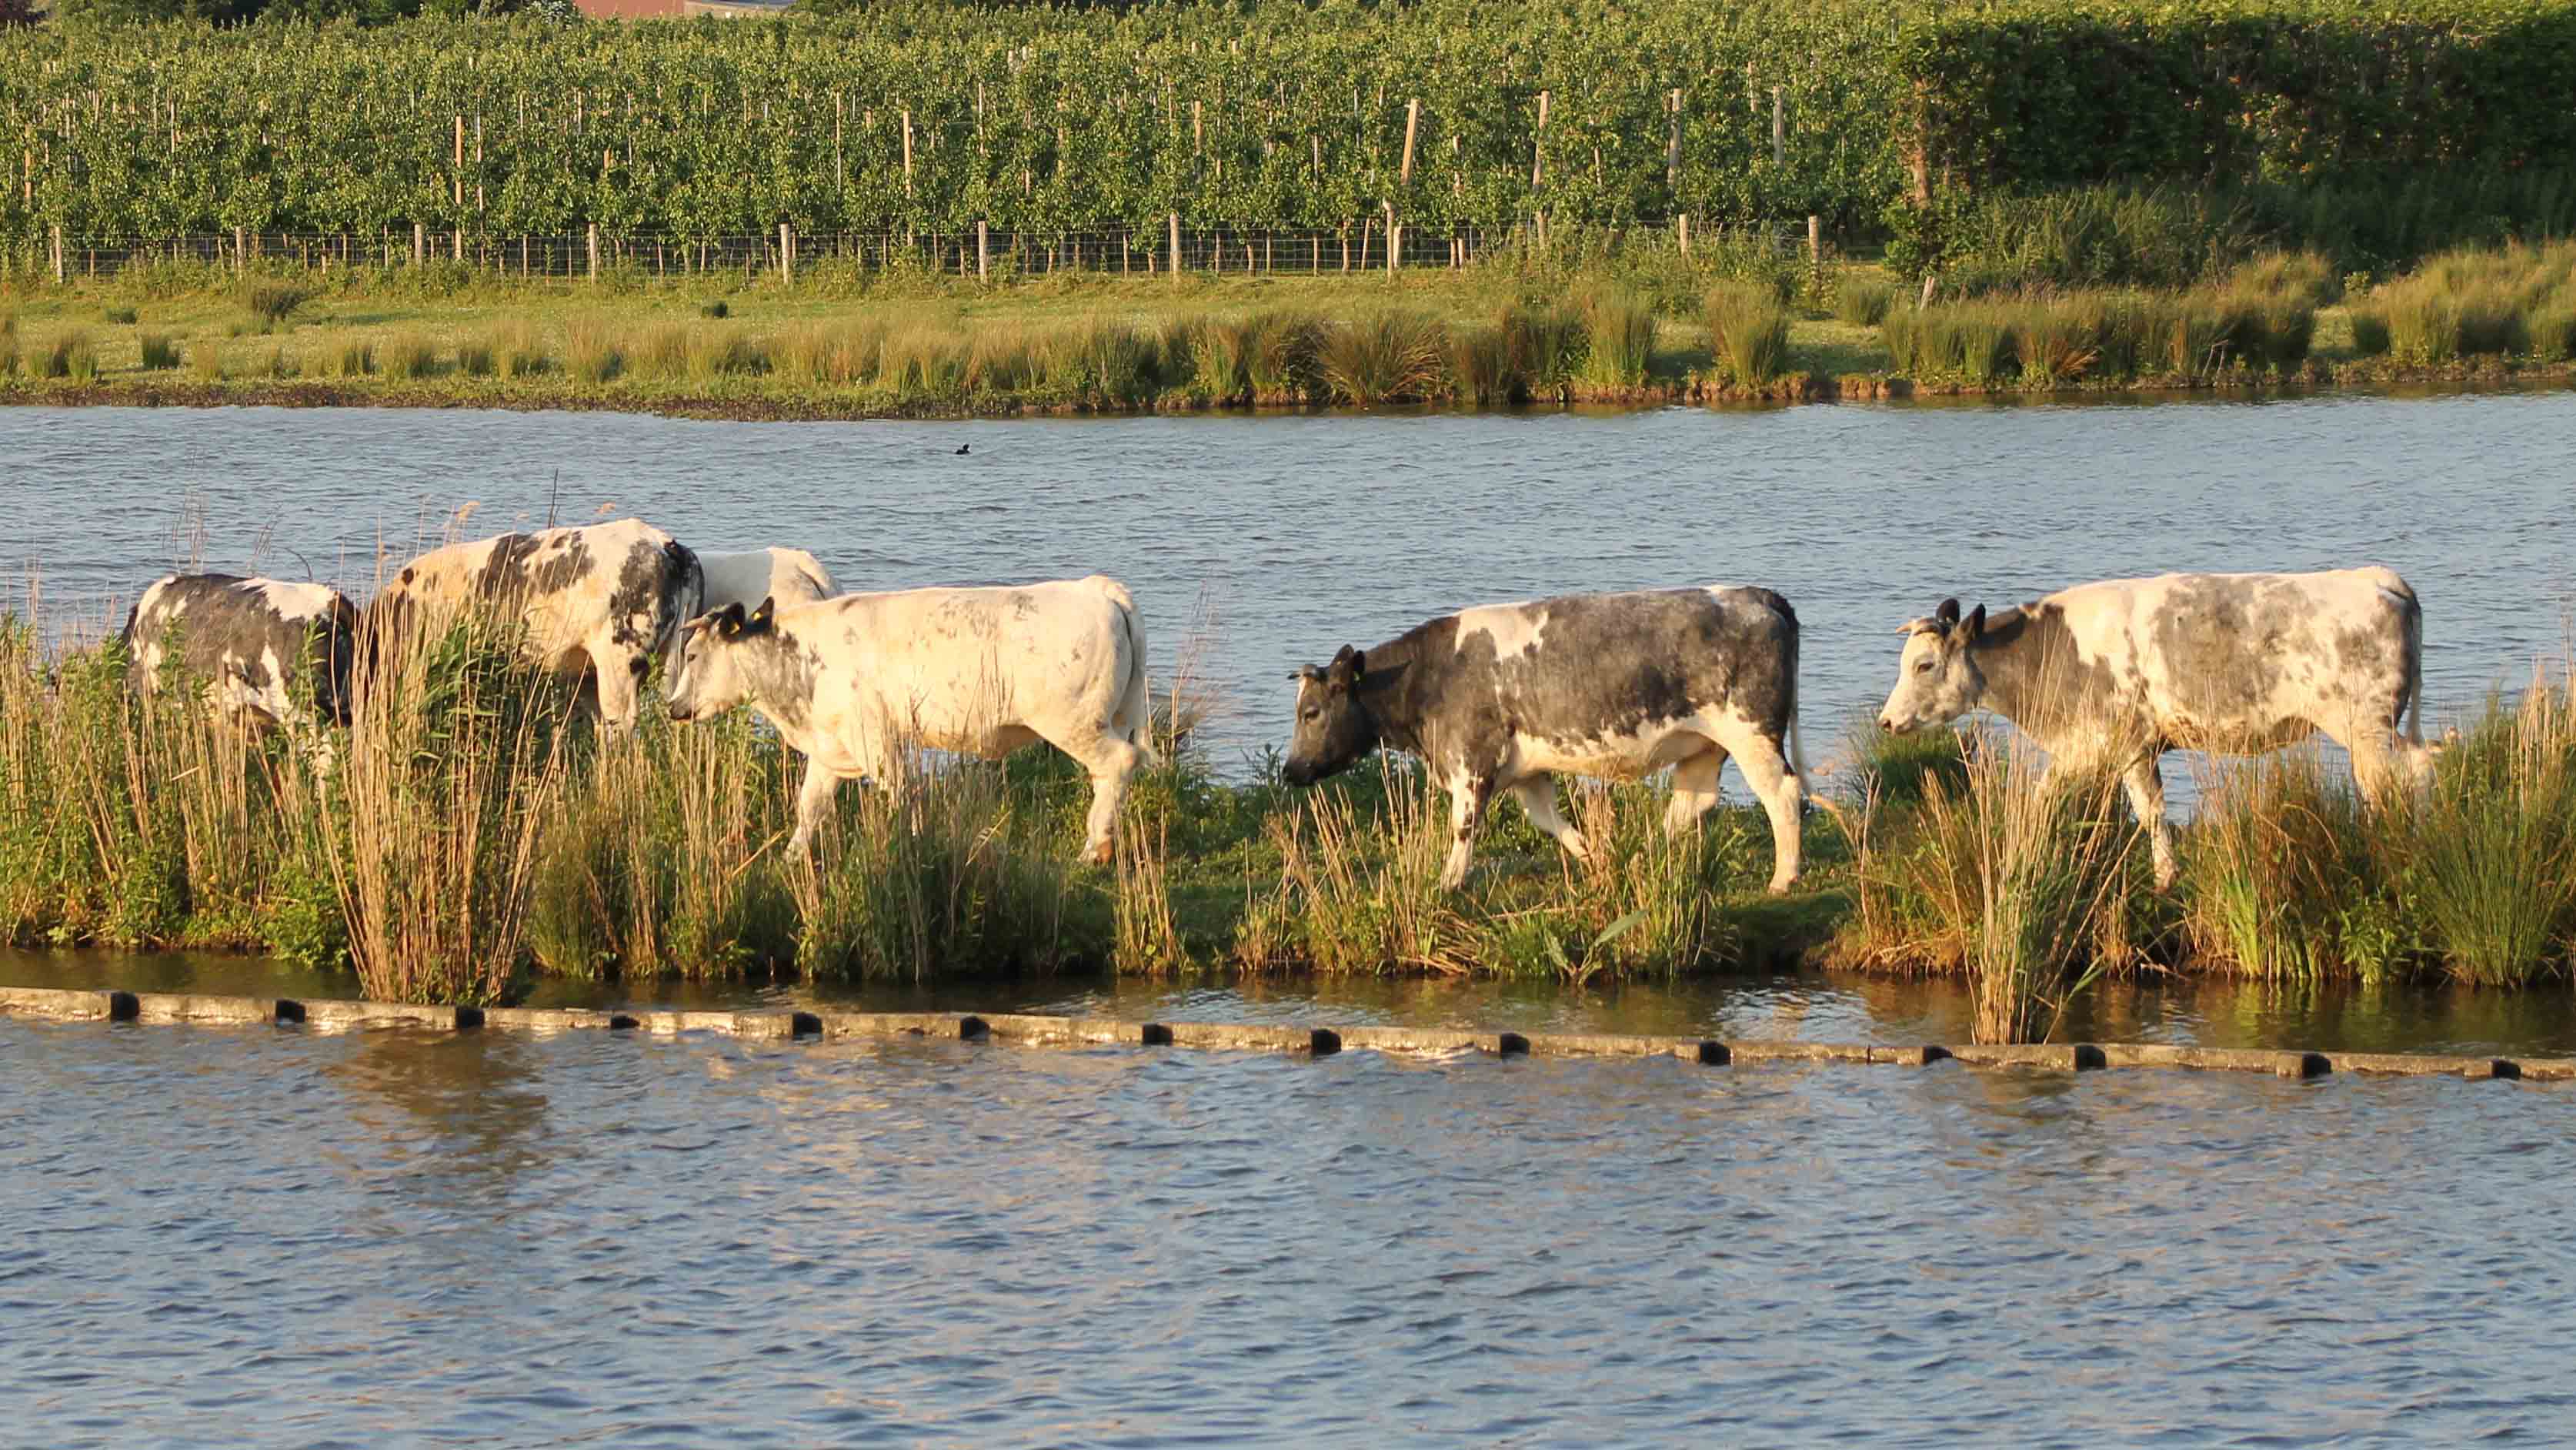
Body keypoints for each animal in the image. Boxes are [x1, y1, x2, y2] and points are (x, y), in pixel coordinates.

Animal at [665, 574, 1153, 863]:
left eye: (692, 655)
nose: (674, 707)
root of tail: (1094, 588)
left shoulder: (873, 737)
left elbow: (903, 792)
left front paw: (915, 846)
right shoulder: (831, 744)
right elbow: (810, 806)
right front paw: (789, 859)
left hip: (1073, 722)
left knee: (1118, 763)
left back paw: (1094, 850)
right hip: (1110, 716)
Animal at [1283, 587, 1812, 894]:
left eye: (1311, 712)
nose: (1290, 771)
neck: (1429, 674)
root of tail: (1754, 594)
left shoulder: (1471, 760)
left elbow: (1464, 827)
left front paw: (1447, 885)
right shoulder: (1525, 770)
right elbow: (1548, 820)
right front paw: (1595, 858)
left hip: (1751, 733)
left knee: (1782, 795)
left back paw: (1781, 880)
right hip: (1705, 743)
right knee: (1693, 801)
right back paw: (1646, 856)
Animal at [1874, 567, 2437, 887]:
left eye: (1924, 665)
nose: (1886, 720)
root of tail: (2377, 577)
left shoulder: (2104, 743)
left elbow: (2046, 799)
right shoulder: (2135, 749)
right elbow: (2151, 812)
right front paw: (2167, 876)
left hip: (2365, 725)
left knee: (2404, 776)